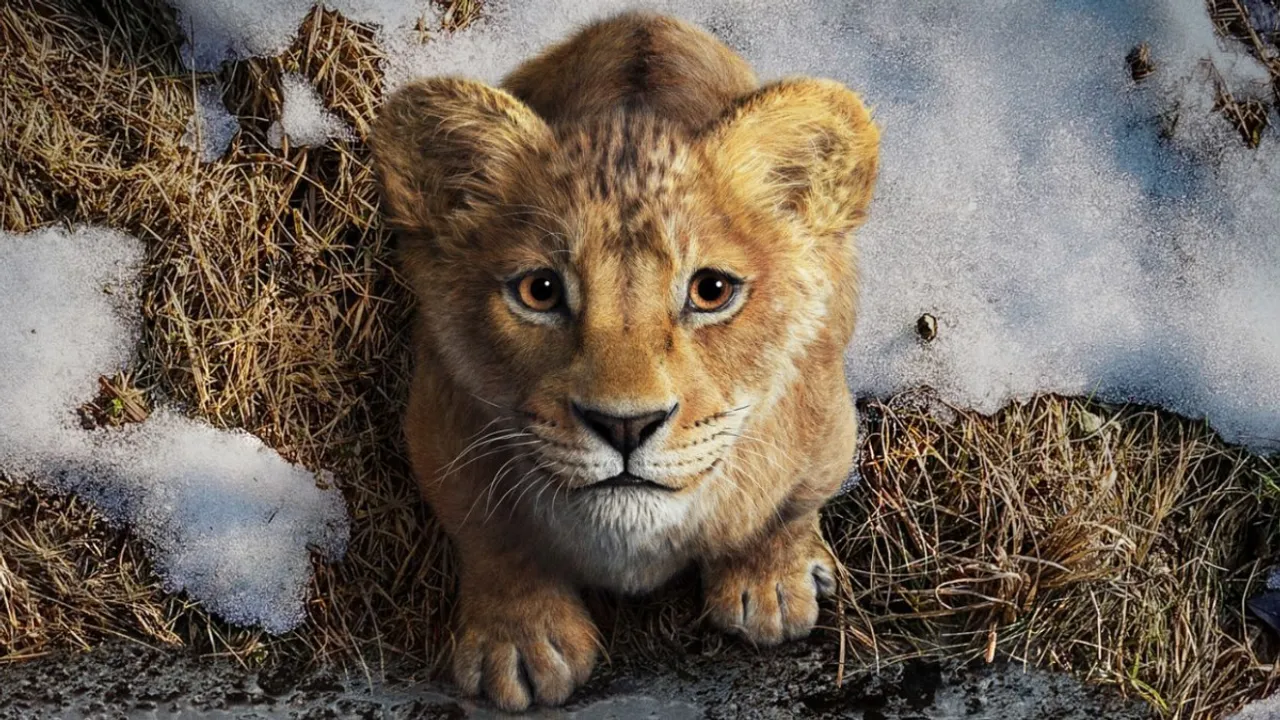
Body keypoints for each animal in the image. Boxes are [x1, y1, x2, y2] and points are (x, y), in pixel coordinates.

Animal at [371, 11, 879, 711]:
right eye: (540, 291)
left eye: (711, 290)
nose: (625, 426)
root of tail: (645, 18)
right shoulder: (439, 423)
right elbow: (492, 536)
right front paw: (520, 642)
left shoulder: (827, 423)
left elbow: (787, 508)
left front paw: (771, 587)